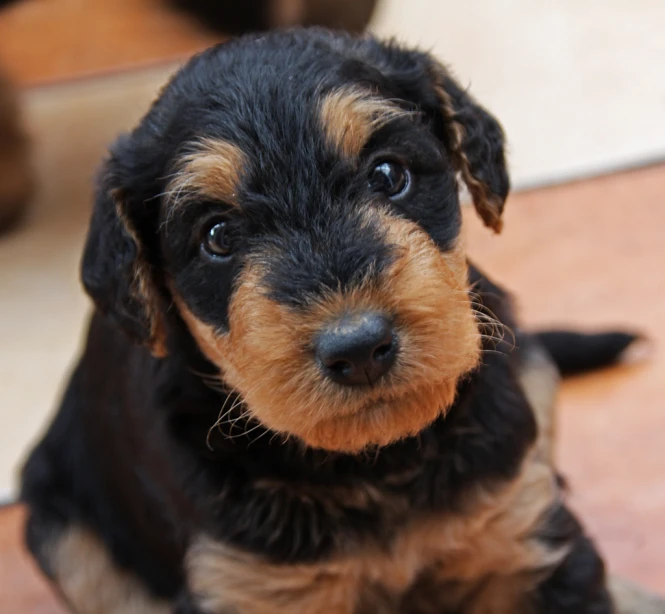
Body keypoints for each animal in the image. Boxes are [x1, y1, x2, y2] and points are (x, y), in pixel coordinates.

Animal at [20, 28, 664, 614]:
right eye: (217, 236)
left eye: (388, 174)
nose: (358, 348)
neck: (376, 466)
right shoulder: (247, 589)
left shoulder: (523, 539)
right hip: (63, 530)